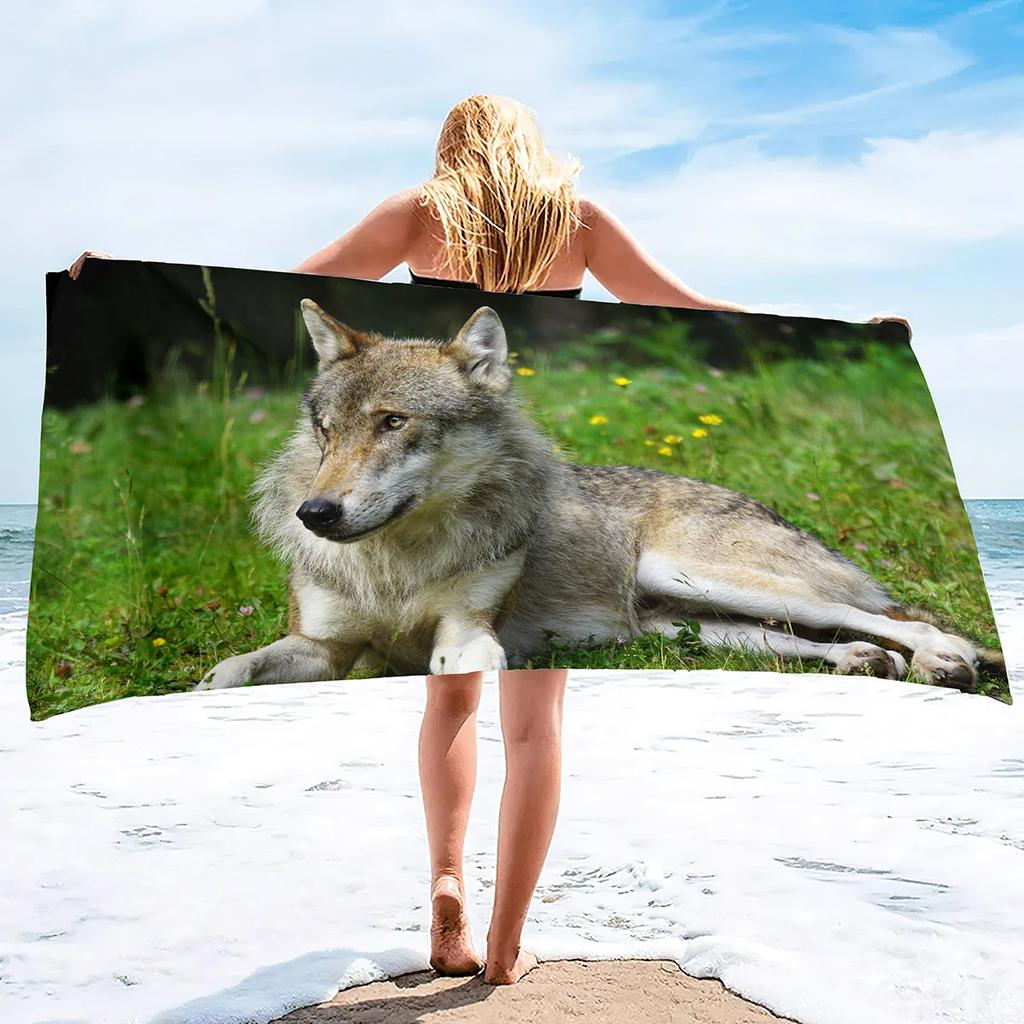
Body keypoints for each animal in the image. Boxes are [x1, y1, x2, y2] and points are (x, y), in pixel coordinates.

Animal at [198, 300, 1001, 692]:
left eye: (394, 423)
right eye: (326, 433)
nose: (315, 514)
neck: (399, 563)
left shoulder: (467, 632)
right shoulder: (322, 649)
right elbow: (224, 675)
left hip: (705, 577)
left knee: (905, 622)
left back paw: (944, 663)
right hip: (693, 625)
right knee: (838, 641)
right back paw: (871, 664)